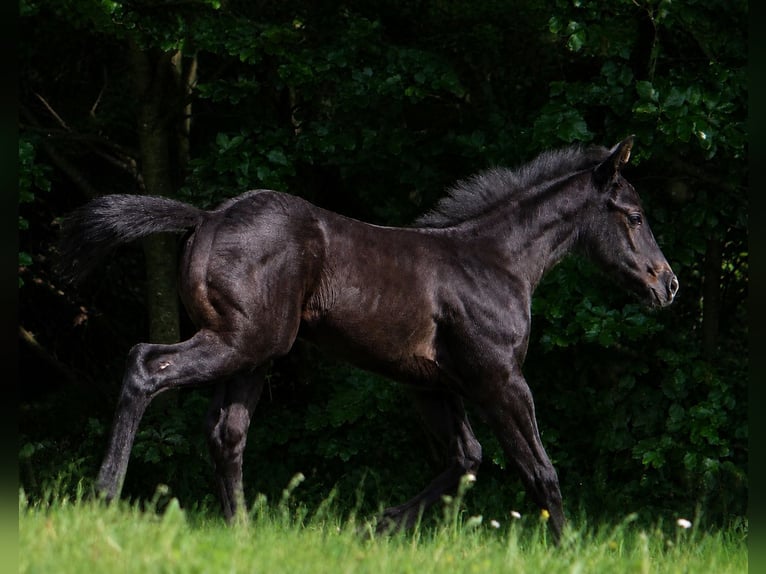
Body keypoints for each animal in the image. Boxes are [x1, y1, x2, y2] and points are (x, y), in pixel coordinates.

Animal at [58, 137, 678, 542]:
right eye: (633, 215)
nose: (667, 284)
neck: (496, 261)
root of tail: (206, 218)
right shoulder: (500, 380)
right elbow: (539, 471)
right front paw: (568, 551)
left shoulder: (433, 386)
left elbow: (466, 459)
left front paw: (376, 526)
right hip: (239, 343)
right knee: (146, 366)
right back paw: (104, 496)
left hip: (255, 354)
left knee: (226, 433)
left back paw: (242, 532)